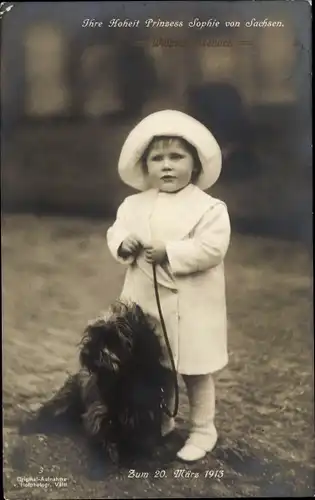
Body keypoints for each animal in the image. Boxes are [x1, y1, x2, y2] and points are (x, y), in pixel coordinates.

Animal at [19, 298, 173, 462]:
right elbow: (104, 433)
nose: (86, 352)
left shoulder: (145, 415)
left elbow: (143, 439)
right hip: (66, 399)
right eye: (93, 333)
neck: (124, 381)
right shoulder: (100, 412)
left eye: (114, 339)